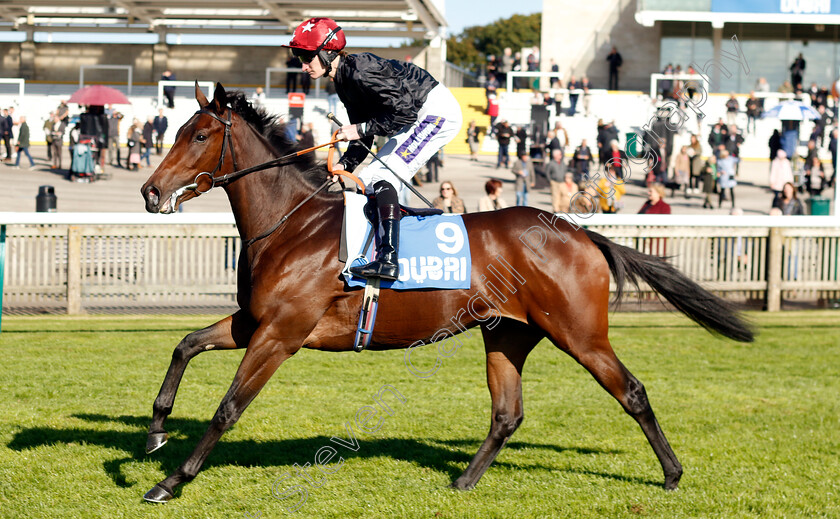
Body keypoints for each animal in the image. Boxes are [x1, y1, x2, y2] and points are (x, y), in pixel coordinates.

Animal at [139, 82, 756, 504]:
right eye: (175, 132)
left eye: (199, 136)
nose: (149, 191)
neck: (291, 225)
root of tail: (580, 232)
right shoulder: (254, 321)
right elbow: (185, 344)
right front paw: (155, 433)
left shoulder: (282, 333)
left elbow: (227, 408)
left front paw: (170, 481)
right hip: (509, 334)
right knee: (507, 413)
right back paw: (463, 480)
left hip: (579, 332)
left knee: (631, 391)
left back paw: (672, 474)